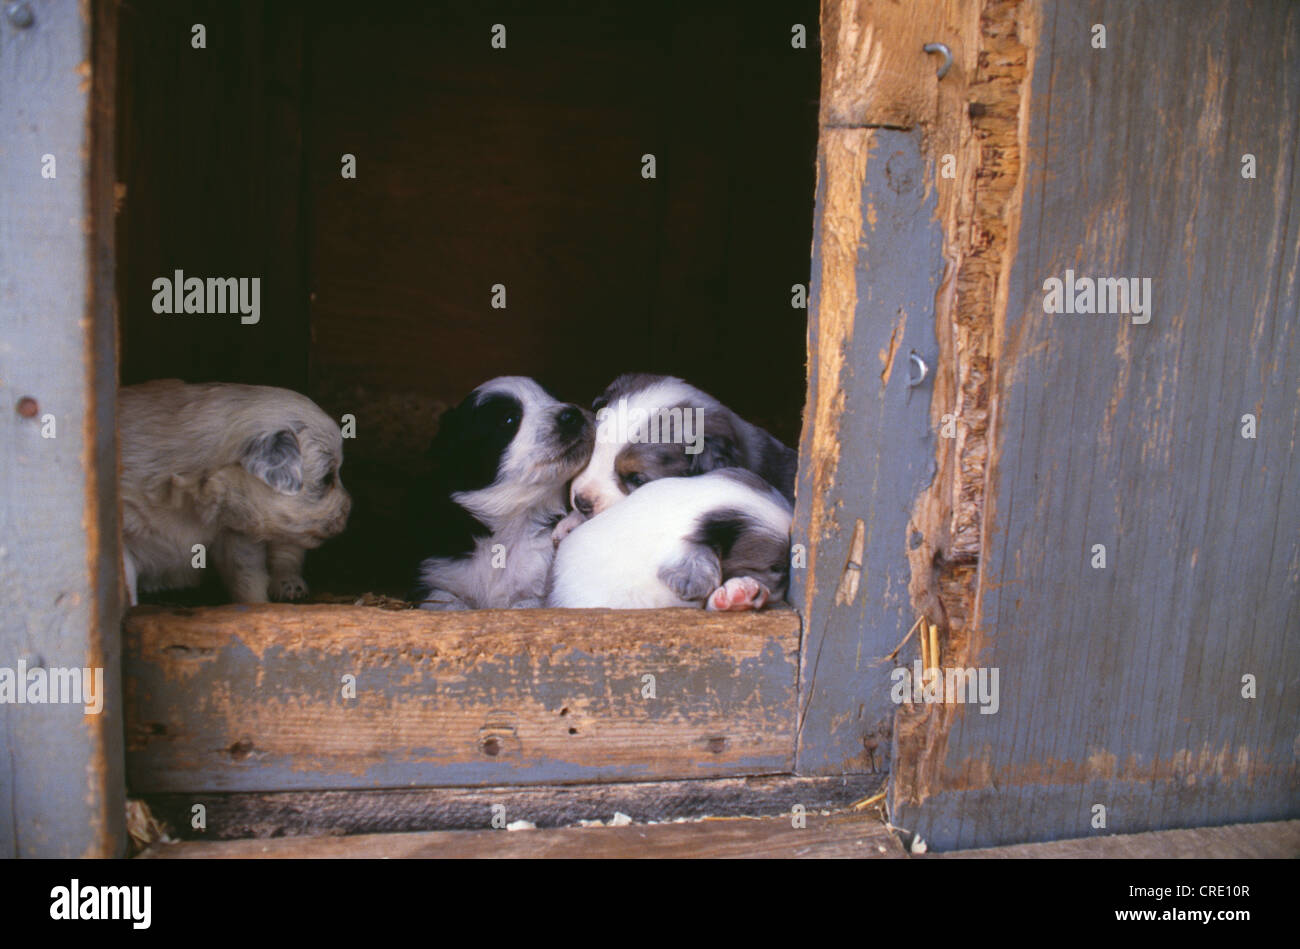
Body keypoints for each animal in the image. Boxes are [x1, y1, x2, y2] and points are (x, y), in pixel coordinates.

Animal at [116, 374, 348, 603]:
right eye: (327, 478)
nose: (349, 508)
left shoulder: (235, 536)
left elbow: (248, 579)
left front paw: (260, 605)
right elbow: (126, 585)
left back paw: (289, 584)